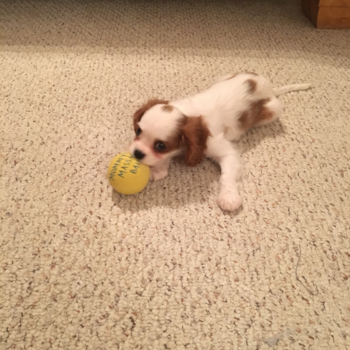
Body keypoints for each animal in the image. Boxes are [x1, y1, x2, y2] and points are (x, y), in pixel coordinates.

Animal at [130, 73, 310, 211]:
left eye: (161, 146)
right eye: (138, 131)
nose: (136, 153)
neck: (188, 114)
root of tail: (268, 86)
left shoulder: (224, 150)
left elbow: (227, 175)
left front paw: (229, 197)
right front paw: (159, 168)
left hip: (273, 110)